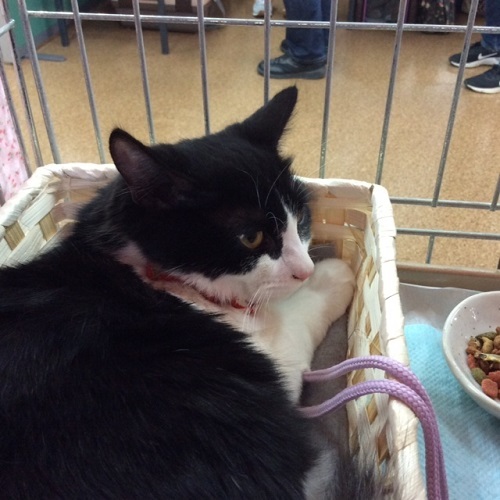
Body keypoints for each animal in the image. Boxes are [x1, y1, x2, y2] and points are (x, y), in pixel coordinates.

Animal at [0, 86, 375, 498]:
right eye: (251, 237)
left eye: (301, 218)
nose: (305, 269)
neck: (156, 278)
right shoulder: (277, 361)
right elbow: (292, 320)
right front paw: (333, 277)